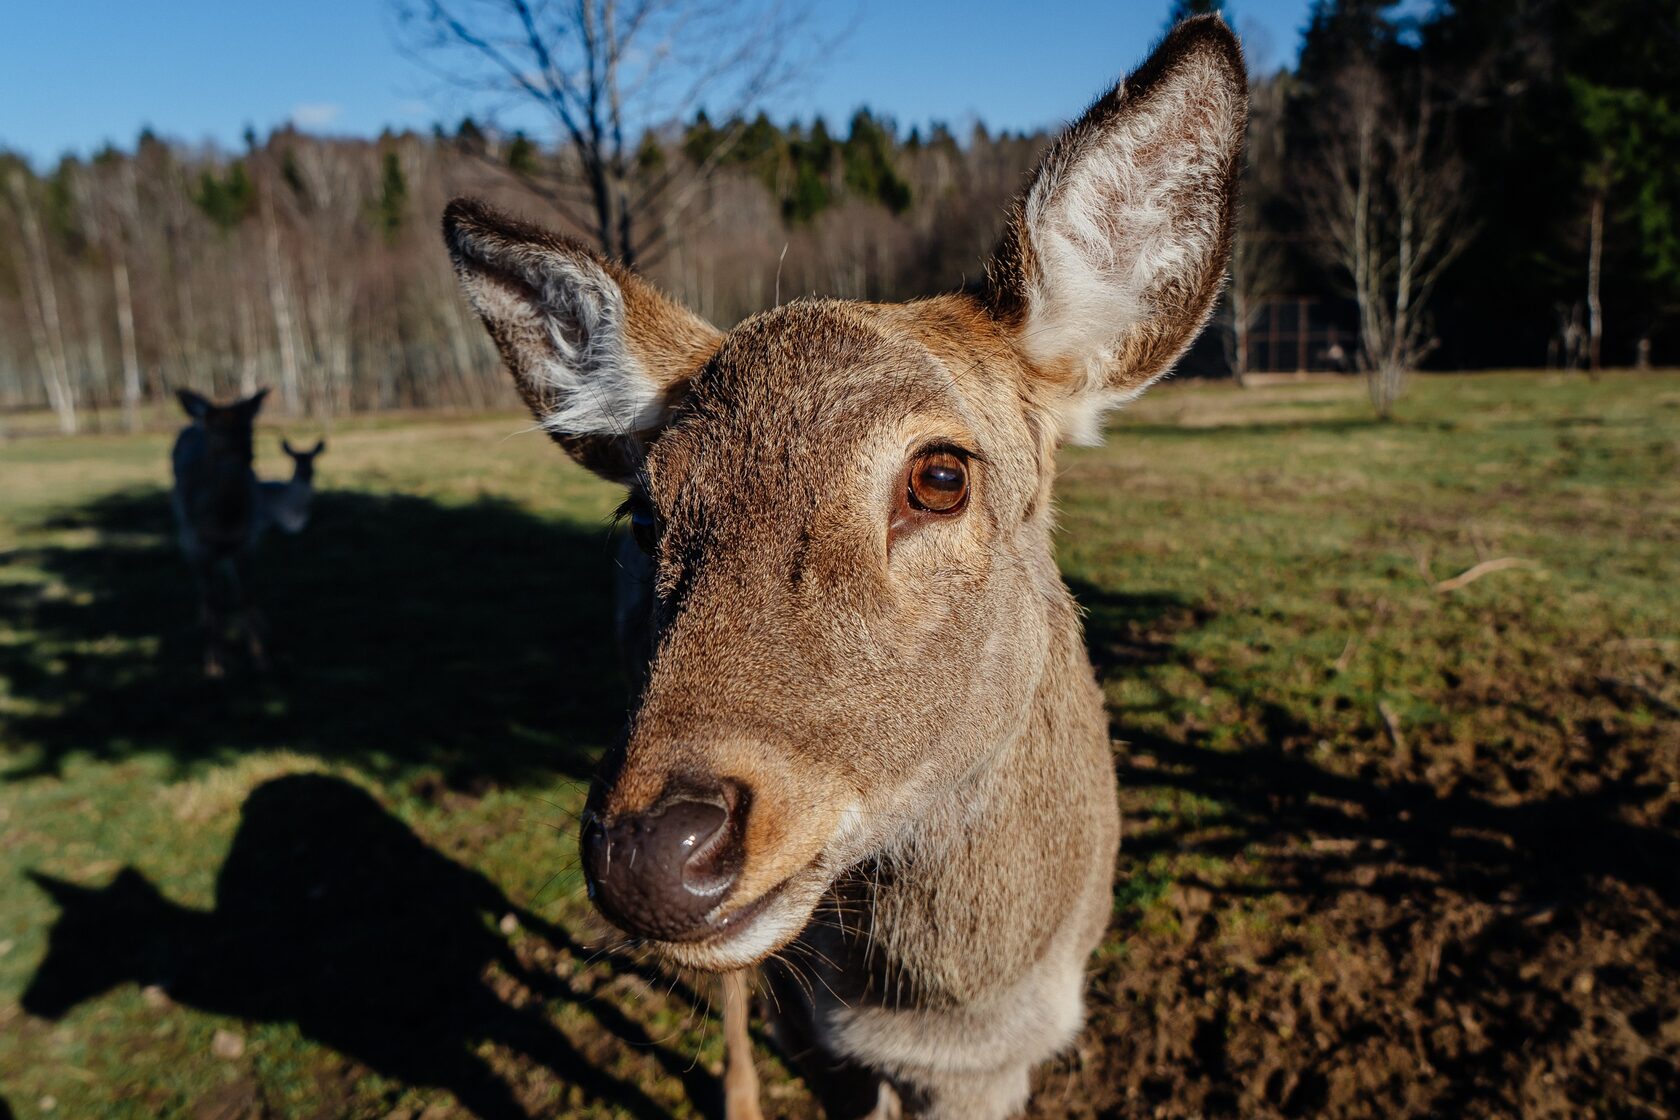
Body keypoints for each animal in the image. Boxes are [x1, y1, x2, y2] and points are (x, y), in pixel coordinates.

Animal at [169, 389, 268, 678]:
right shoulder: (197, 543)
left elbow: (247, 596)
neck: (225, 519)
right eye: (215, 430)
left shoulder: (249, 540)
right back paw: (202, 620)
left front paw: (259, 659)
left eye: (249, 425)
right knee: (205, 591)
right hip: (185, 533)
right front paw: (213, 665)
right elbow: (214, 600)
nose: (244, 453)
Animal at [446, 17, 1249, 1120]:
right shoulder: (817, 1026)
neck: (941, 1013)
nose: (651, 853)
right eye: (644, 510)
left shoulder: (1008, 1055)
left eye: (941, 475)